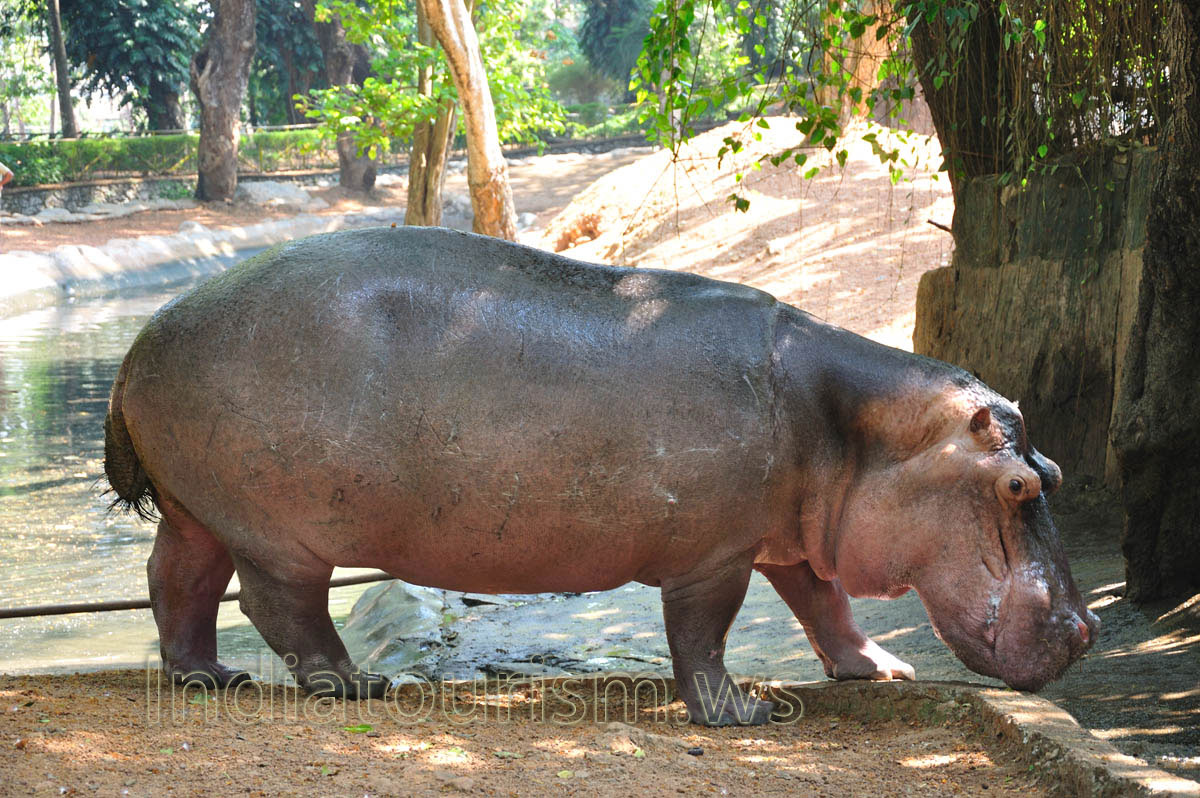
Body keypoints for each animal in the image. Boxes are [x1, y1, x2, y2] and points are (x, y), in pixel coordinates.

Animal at [104, 226, 1098, 726]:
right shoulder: (715, 555)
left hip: (195, 506)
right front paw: (744, 717)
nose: (1087, 630)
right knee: (280, 607)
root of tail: (140, 342)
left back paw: (207, 679)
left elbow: (827, 606)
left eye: (1050, 466)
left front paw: (882, 673)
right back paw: (356, 687)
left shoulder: (785, 537)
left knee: (177, 581)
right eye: (1017, 487)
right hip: (278, 530)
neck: (859, 426)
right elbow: (703, 637)